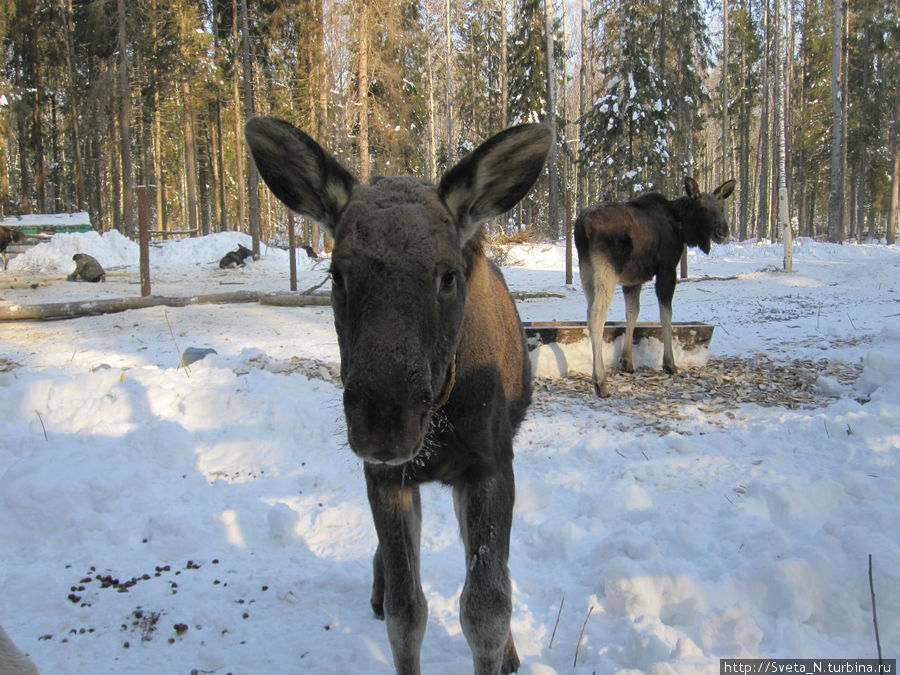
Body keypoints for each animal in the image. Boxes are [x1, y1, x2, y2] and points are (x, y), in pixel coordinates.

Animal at [248, 117, 556, 675]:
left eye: (447, 274)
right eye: (337, 273)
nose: (384, 420)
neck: (442, 419)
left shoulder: (490, 465)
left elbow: (486, 609)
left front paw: (502, 649)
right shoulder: (387, 477)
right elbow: (406, 611)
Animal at [572, 176, 736, 396]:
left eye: (722, 207)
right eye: (702, 208)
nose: (722, 231)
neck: (681, 228)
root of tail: (582, 227)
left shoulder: (633, 279)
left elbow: (632, 312)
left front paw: (627, 362)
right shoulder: (667, 269)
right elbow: (666, 315)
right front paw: (669, 363)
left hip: (587, 271)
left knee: (589, 311)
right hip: (606, 271)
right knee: (596, 315)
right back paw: (600, 380)